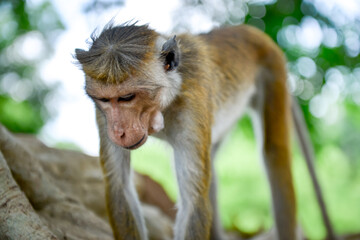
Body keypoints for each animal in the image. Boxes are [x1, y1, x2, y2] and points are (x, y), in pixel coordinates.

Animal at [75, 21, 334, 239]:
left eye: (127, 97)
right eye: (105, 100)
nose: (118, 132)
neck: (166, 100)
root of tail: (247, 30)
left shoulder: (193, 106)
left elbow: (193, 201)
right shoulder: (102, 117)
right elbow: (119, 186)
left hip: (273, 72)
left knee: (275, 155)